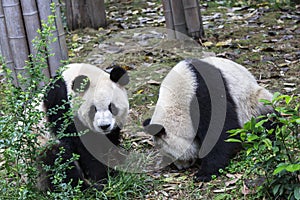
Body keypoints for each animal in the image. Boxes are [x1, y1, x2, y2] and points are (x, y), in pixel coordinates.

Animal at [37, 63, 129, 191]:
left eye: (112, 107)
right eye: (93, 109)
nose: (104, 126)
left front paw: (115, 161)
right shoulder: (61, 106)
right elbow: (81, 145)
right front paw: (103, 176)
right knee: (56, 159)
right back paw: (86, 188)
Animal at [144, 56, 276, 183]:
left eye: (171, 154)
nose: (180, 167)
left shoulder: (204, 94)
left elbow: (220, 131)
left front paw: (204, 174)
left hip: (253, 102)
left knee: (265, 117)